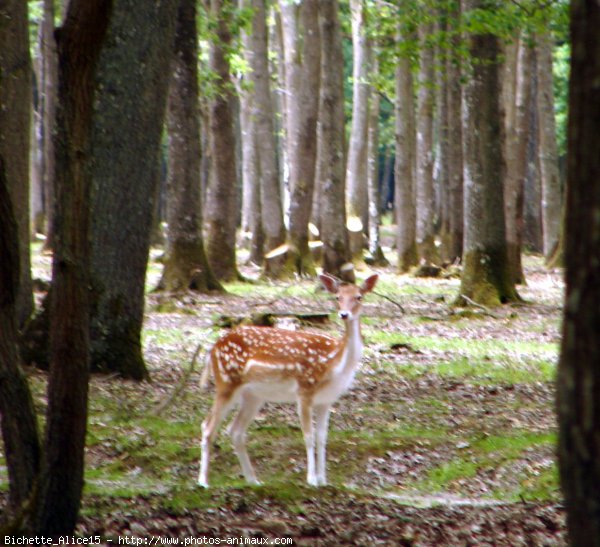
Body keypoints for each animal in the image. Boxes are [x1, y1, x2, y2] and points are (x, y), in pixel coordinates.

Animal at [198, 272, 380, 488]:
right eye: (338, 297)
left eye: (359, 297)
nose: (344, 314)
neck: (334, 364)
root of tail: (213, 349)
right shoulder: (304, 390)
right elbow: (308, 436)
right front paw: (311, 480)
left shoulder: (326, 400)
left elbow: (322, 437)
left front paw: (323, 480)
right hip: (226, 381)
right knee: (208, 426)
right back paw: (203, 482)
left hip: (253, 396)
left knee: (234, 430)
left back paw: (253, 480)